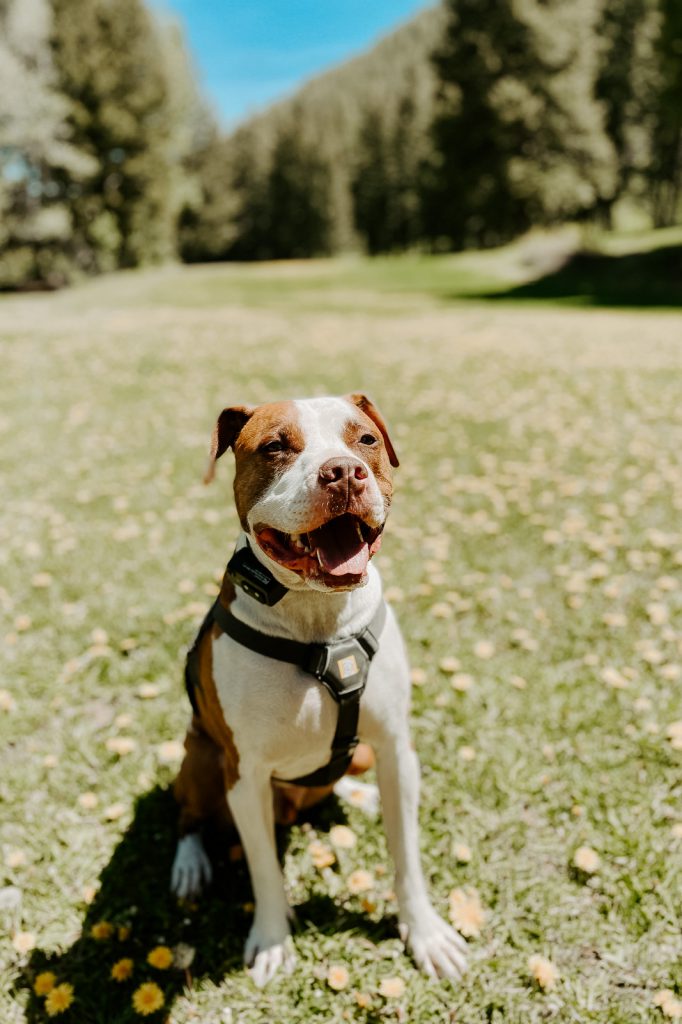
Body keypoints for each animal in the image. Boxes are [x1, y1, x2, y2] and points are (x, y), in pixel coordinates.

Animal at [169, 391, 466, 983]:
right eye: (275, 446)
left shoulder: (396, 749)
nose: (343, 472)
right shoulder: (245, 774)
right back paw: (190, 863)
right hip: (201, 755)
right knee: (188, 812)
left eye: (365, 439)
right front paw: (271, 938)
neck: (317, 621)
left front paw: (423, 932)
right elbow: (263, 868)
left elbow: (407, 857)